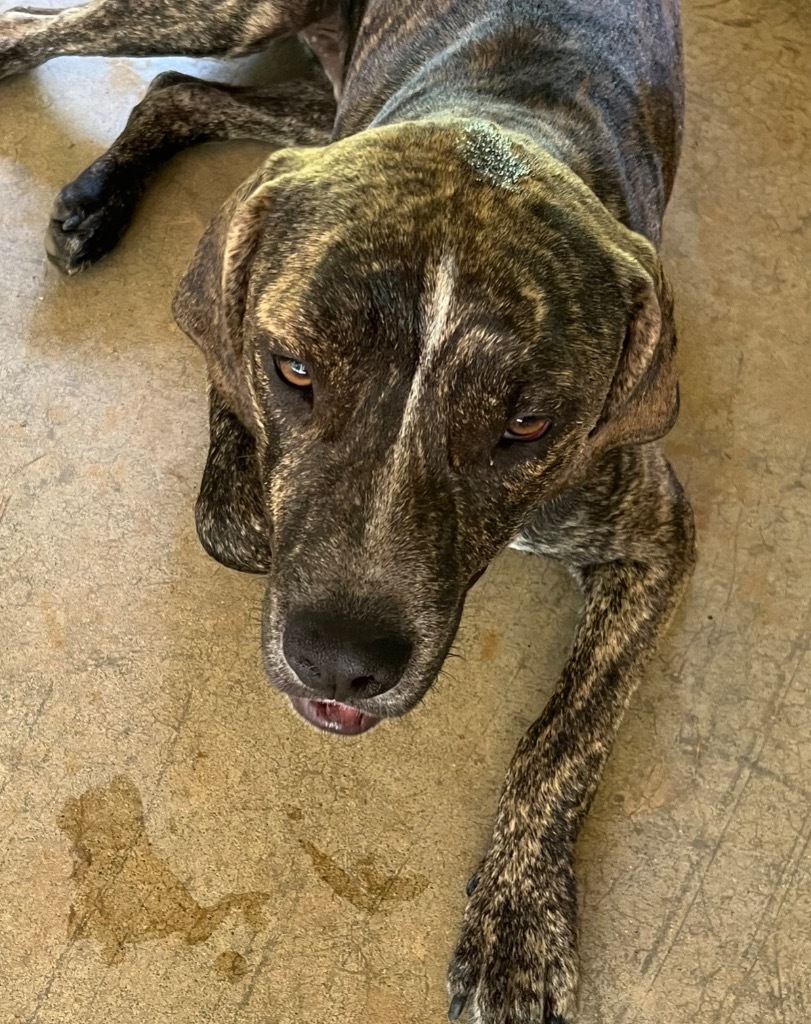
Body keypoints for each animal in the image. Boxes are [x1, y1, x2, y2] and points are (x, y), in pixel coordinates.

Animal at [0, 0, 696, 1019]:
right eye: (293, 368)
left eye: (527, 424)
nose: (339, 664)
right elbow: (232, 506)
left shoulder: (653, 535)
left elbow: (567, 736)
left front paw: (518, 924)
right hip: (238, 22)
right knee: (62, 38)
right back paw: (88, 183)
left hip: (319, 103)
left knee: (183, 91)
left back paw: (100, 193)